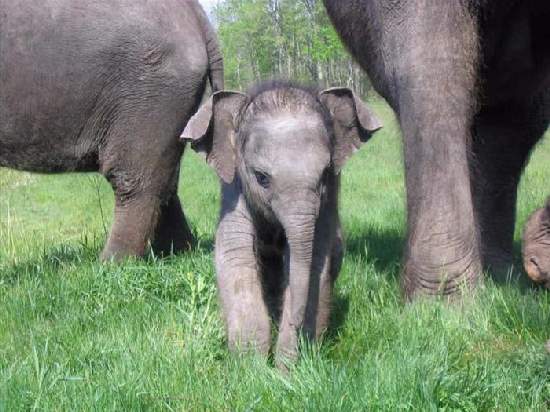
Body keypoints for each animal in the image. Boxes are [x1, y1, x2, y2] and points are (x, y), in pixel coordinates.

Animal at [1, 0, 224, 260]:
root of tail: (198, 16)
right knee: (165, 179)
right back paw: (178, 252)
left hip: (148, 94)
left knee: (134, 178)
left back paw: (112, 263)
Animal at [183, 83, 382, 364]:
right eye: (261, 178)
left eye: (324, 174)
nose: (294, 322)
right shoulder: (234, 189)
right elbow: (236, 257)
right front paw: (251, 367)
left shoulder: (328, 200)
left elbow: (317, 260)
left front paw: (287, 367)